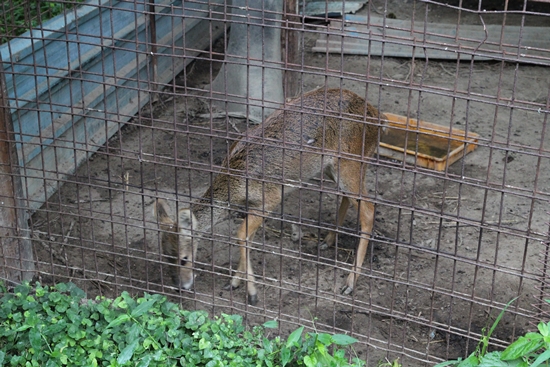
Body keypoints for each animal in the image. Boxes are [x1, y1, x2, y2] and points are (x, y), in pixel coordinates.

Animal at [155, 88, 388, 304]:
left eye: (184, 258)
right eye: (166, 256)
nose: (180, 286)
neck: (236, 182)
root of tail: (378, 117)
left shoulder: (270, 198)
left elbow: (241, 234)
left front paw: (251, 293)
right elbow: (248, 238)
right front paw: (235, 281)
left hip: (350, 162)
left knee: (368, 210)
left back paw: (349, 283)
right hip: (336, 167)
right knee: (349, 197)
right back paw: (328, 240)